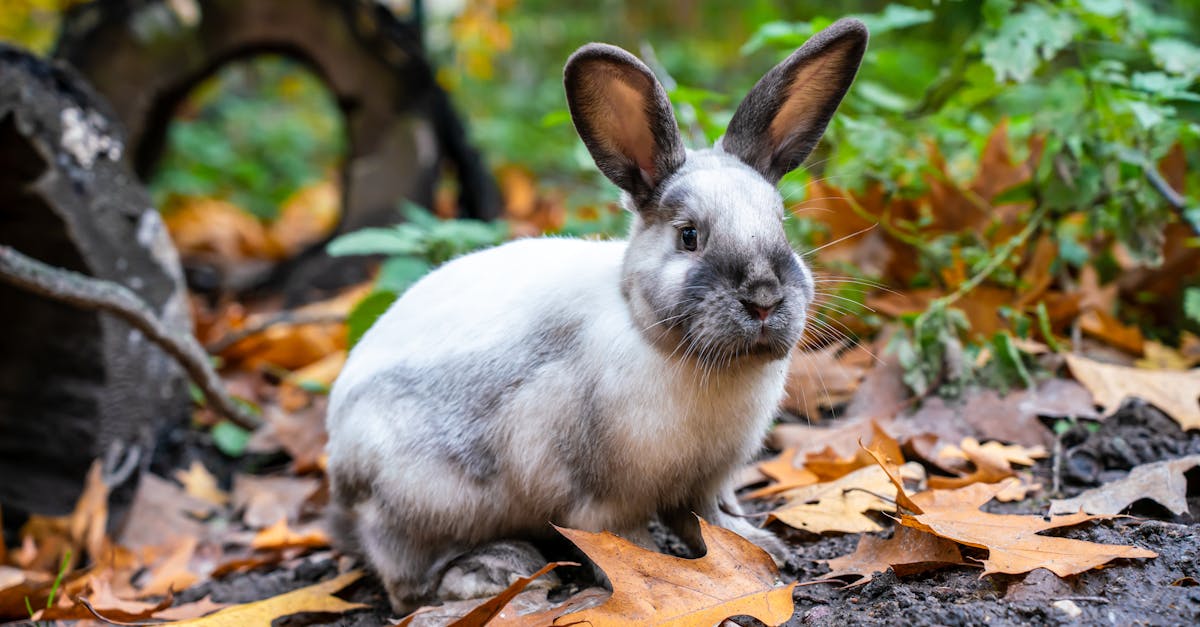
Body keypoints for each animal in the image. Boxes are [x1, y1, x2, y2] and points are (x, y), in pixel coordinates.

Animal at [325, 18, 868, 614]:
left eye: (781, 226)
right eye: (689, 237)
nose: (765, 297)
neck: (665, 344)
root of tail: (339, 462)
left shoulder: (706, 482)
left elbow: (710, 521)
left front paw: (762, 547)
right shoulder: (604, 500)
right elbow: (622, 540)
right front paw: (646, 576)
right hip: (423, 503)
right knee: (406, 585)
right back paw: (492, 569)